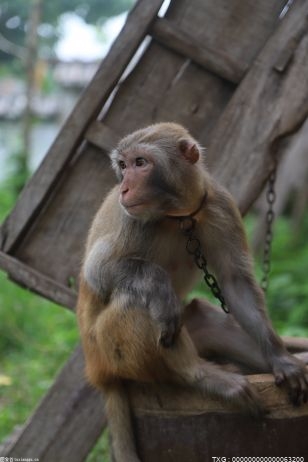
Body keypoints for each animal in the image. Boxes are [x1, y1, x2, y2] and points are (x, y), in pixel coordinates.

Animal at [76, 122, 306, 462]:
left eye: (140, 163)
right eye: (123, 165)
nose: (124, 189)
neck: (178, 215)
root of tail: (98, 371)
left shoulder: (220, 205)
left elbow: (235, 283)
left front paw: (282, 360)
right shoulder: (130, 220)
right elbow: (98, 273)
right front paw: (160, 285)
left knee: (203, 319)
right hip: (110, 348)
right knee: (140, 299)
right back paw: (198, 374)